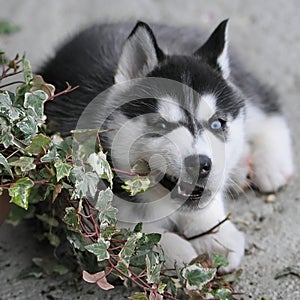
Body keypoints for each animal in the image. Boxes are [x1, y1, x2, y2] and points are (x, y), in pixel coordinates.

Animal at [42, 19, 292, 270]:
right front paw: (173, 250)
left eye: (217, 124)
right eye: (160, 124)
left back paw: (272, 165)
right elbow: (130, 231)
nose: (200, 165)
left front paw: (215, 234)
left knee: (267, 108)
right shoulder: (82, 203)